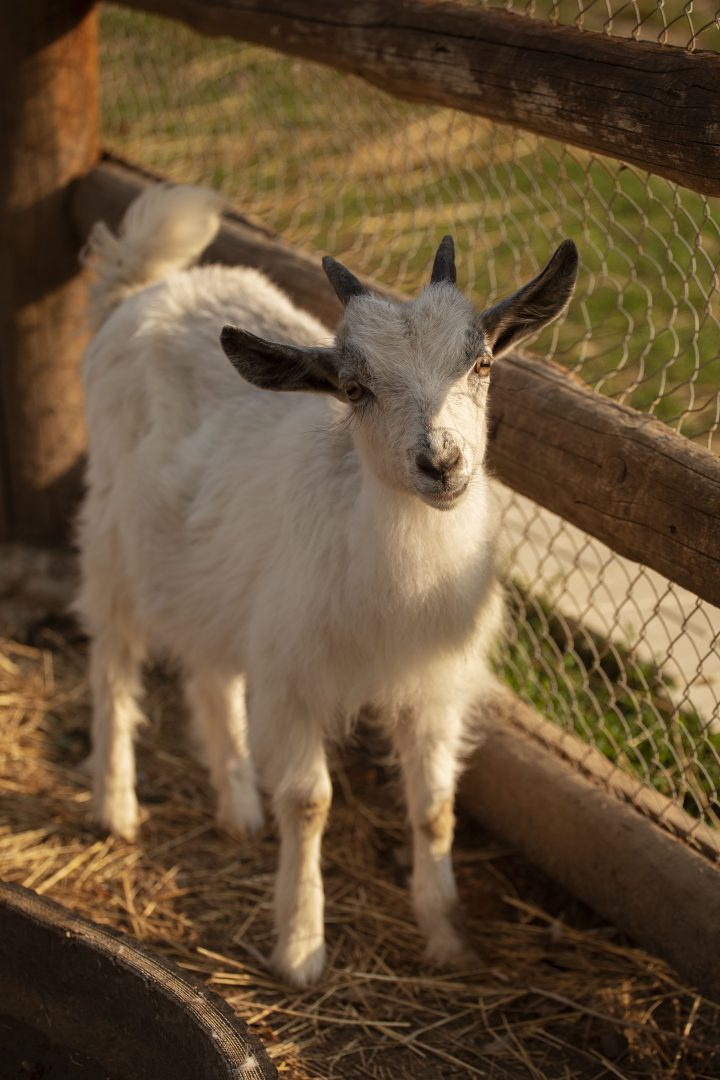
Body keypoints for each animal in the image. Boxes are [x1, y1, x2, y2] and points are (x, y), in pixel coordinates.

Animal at [76, 184, 578, 986]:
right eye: (353, 387)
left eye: (482, 364)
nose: (442, 464)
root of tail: (143, 287)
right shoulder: (293, 678)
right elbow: (310, 802)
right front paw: (302, 947)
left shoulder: (431, 686)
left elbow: (435, 809)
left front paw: (448, 938)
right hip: (112, 537)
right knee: (113, 660)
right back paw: (116, 805)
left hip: (214, 570)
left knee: (210, 672)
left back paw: (238, 805)